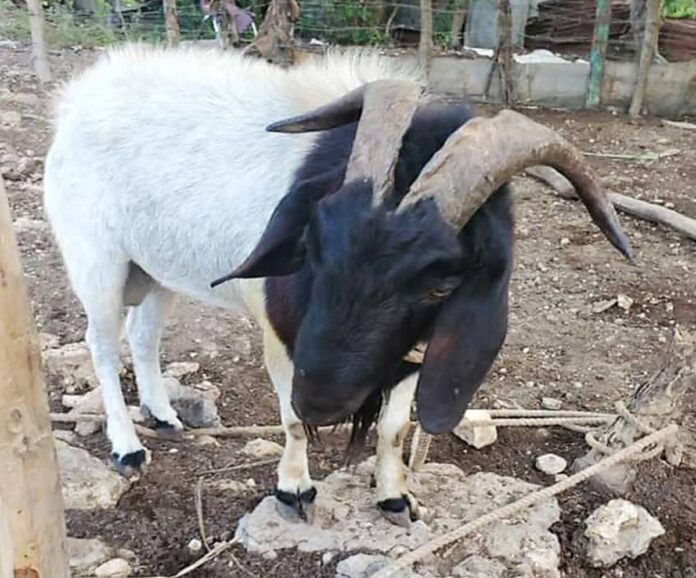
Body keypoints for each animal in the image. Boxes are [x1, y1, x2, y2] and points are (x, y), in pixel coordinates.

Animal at [44, 44, 632, 526]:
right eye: (313, 243)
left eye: (441, 286)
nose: (322, 401)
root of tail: (78, 97)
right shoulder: (282, 335)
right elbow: (288, 420)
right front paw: (294, 490)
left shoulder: (409, 355)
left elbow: (394, 428)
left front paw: (396, 498)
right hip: (98, 259)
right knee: (102, 343)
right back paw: (127, 448)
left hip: (156, 267)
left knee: (143, 335)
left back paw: (164, 417)